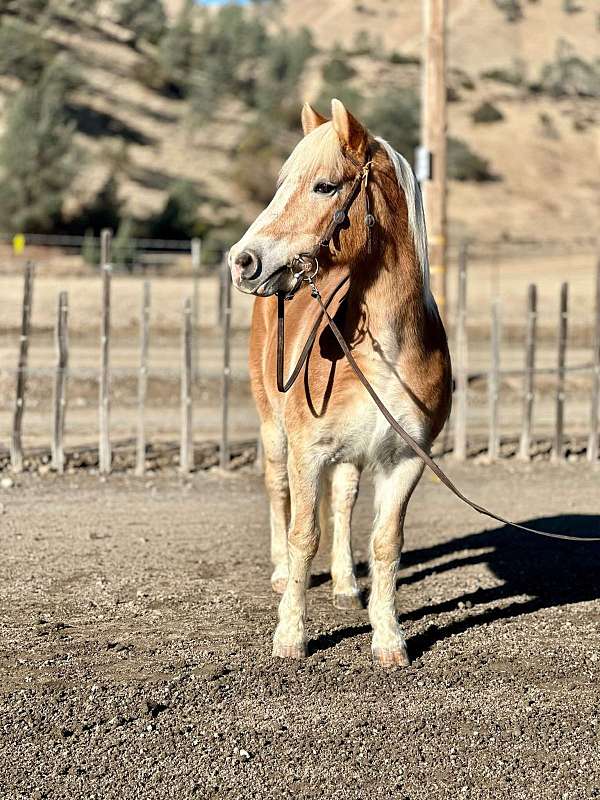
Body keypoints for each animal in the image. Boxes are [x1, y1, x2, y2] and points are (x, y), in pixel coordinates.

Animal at [229, 97, 450, 664]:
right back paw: (281, 573)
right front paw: (290, 637)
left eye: (325, 186)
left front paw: (389, 639)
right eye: (282, 182)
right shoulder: (308, 453)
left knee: (346, 499)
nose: (241, 261)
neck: (386, 350)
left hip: (351, 455)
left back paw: (348, 585)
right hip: (274, 431)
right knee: (278, 492)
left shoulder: (404, 459)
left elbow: (386, 543)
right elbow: (303, 533)